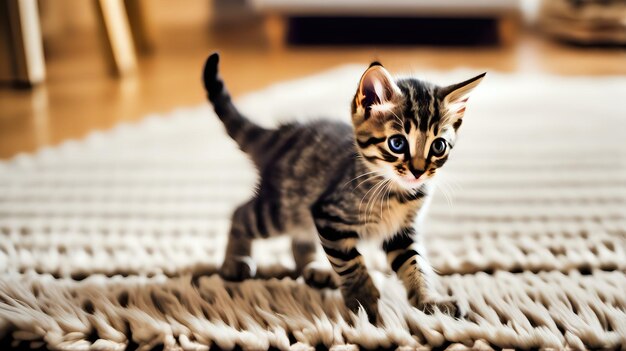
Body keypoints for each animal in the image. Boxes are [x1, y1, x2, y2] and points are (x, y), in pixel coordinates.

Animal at [202, 53, 486, 324]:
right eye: (397, 143)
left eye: (438, 146)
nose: (418, 172)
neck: (397, 193)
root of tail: (283, 134)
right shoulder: (329, 216)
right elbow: (350, 263)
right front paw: (363, 301)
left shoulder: (402, 232)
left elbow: (415, 263)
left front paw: (431, 301)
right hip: (281, 208)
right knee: (241, 213)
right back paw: (234, 263)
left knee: (299, 240)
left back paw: (314, 269)